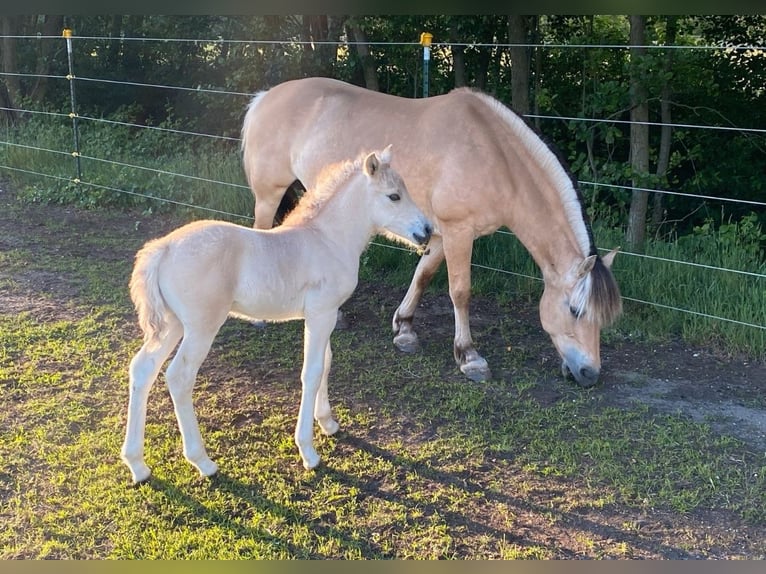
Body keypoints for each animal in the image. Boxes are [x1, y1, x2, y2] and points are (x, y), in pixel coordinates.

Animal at [121, 146, 432, 484]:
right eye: (393, 196)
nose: (427, 230)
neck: (327, 239)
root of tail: (162, 248)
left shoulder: (325, 315)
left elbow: (326, 363)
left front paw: (328, 423)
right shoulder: (321, 315)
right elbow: (311, 372)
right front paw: (308, 451)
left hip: (173, 324)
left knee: (143, 369)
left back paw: (137, 465)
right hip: (201, 328)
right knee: (179, 377)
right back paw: (202, 462)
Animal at [244, 76, 624, 390]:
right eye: (575, 310)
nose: (590, 374)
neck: (493, 154)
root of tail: (264, 97)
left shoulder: (440, 233)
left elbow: (423, 275)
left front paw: (405, 329)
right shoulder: (459, 232)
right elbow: (460, 292)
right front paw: (469, 357)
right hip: (269, 194)